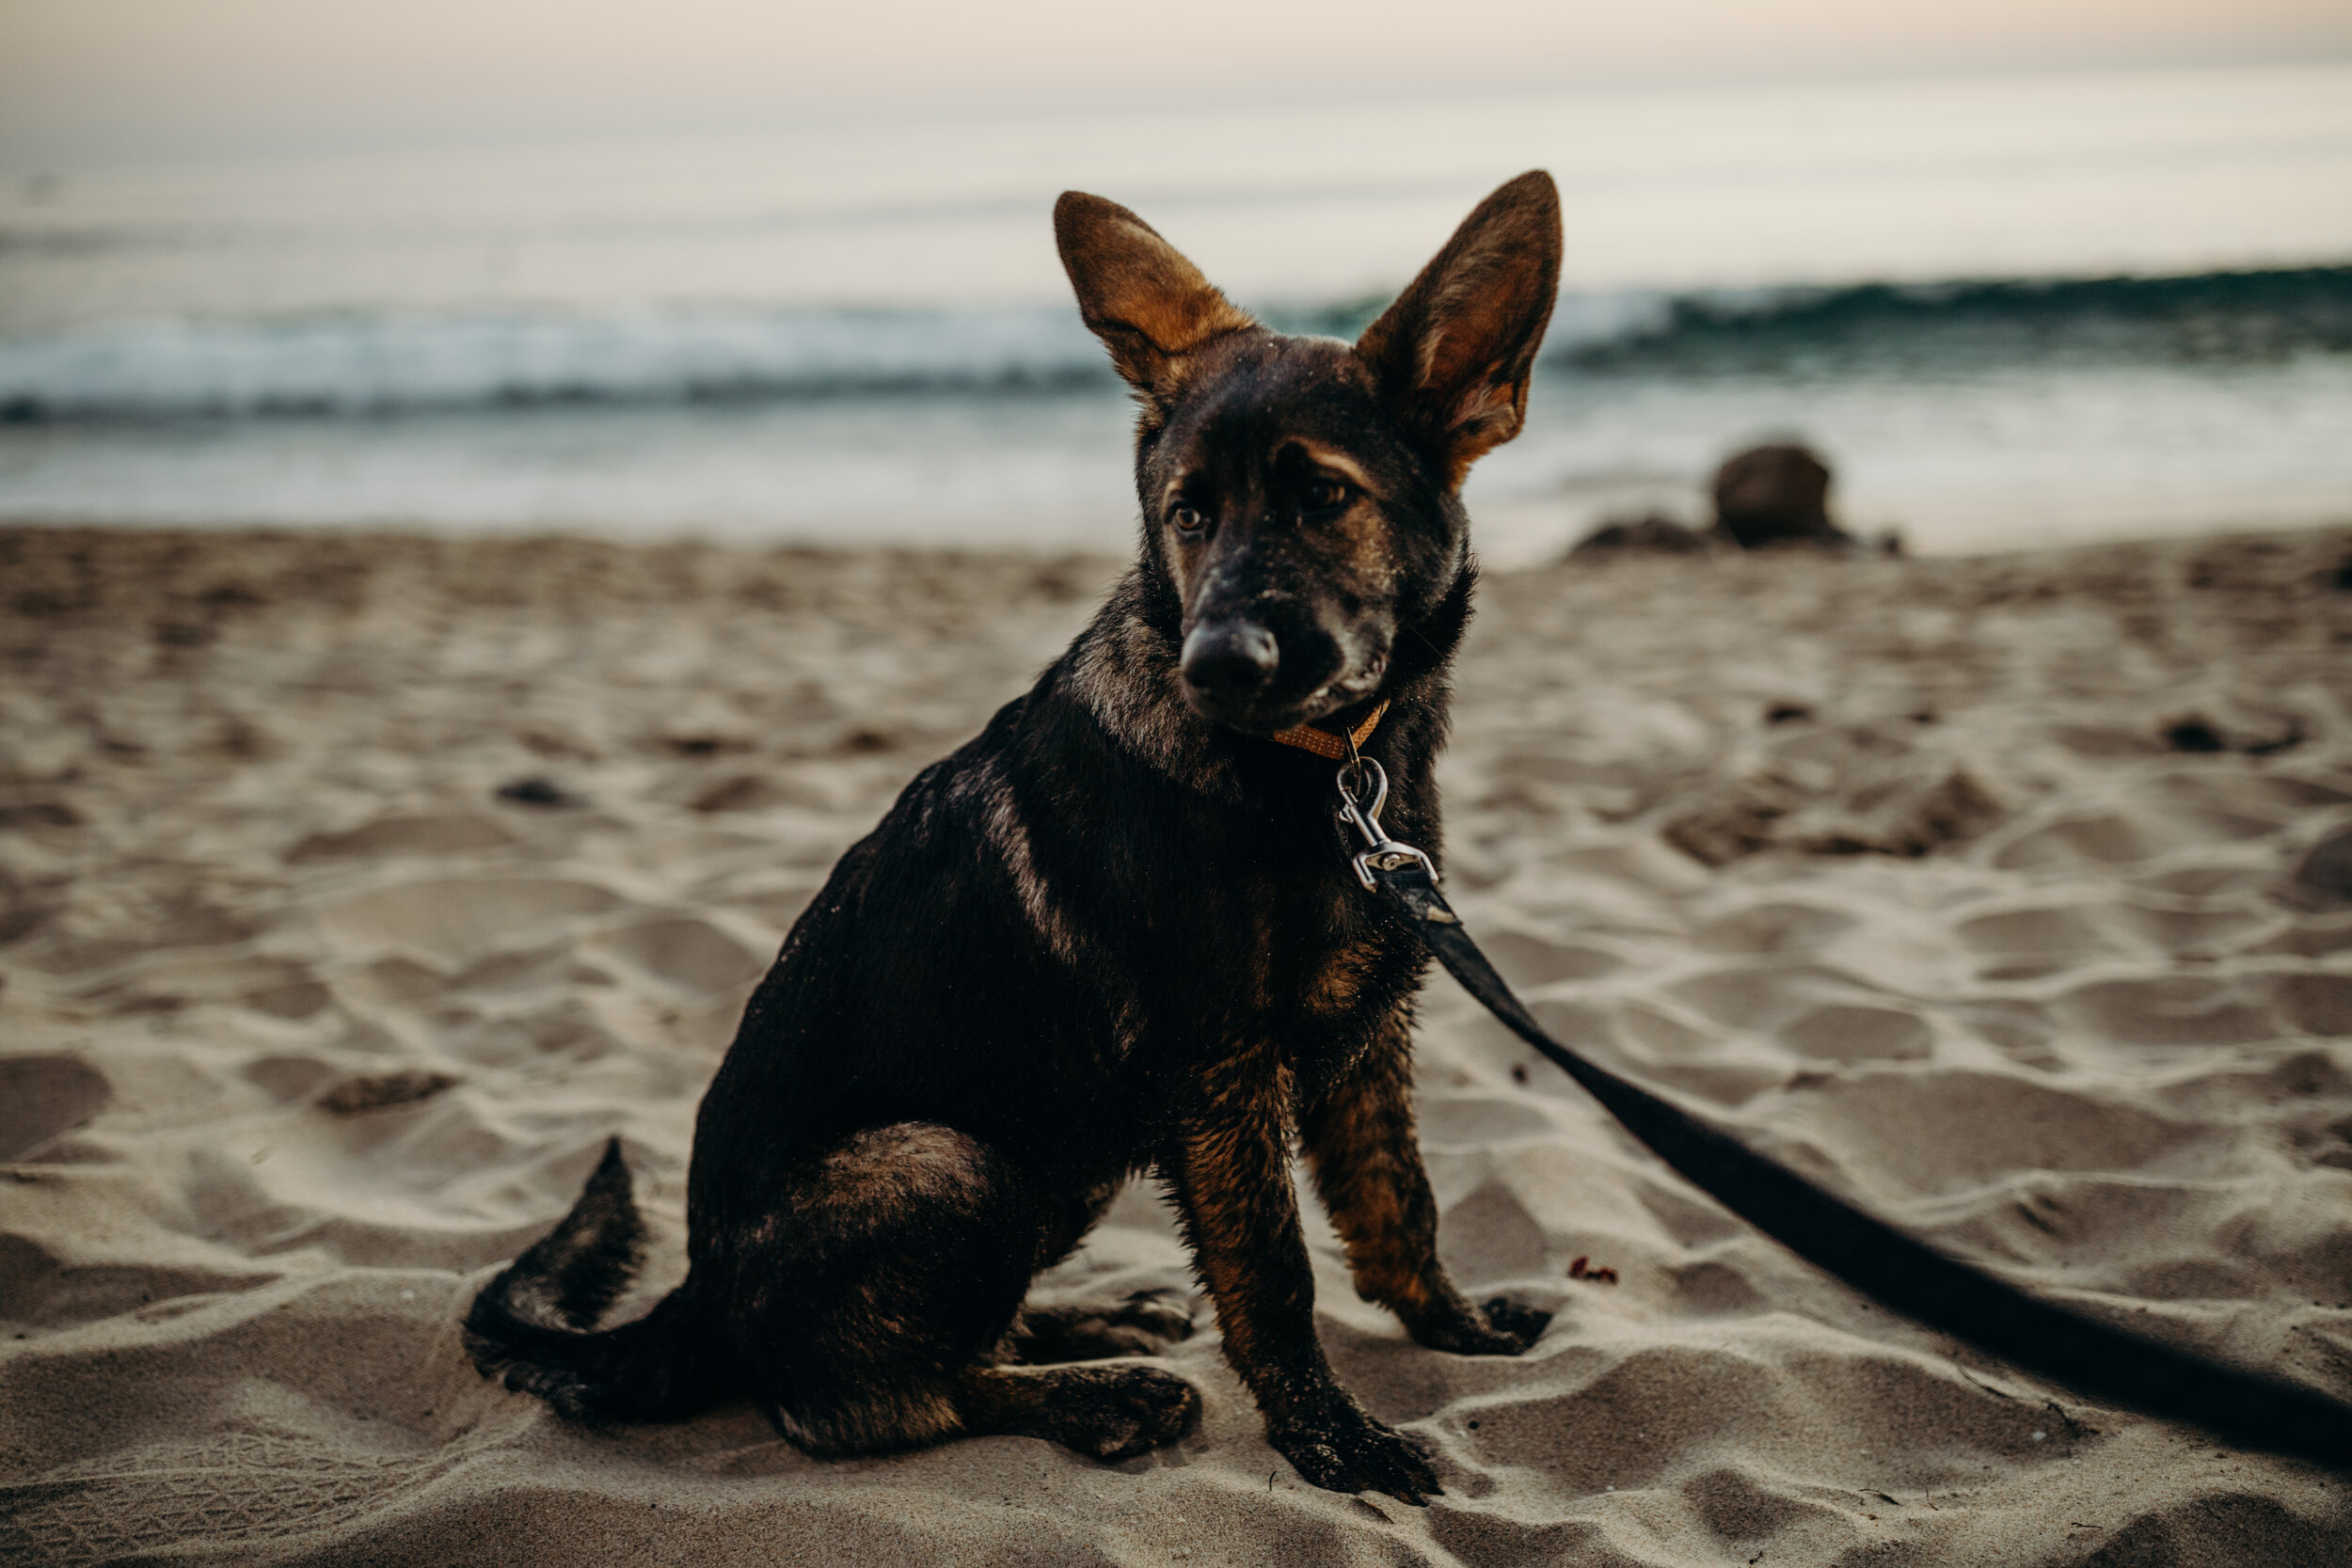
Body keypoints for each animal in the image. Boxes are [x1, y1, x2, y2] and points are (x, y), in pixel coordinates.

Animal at [463, 171, 1562, 1504]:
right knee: (864, 1397)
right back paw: (1095, 1391)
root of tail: (697, 1298)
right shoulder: (1223, 1069)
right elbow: (1275, 1276)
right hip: (951, 1159)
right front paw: (1327, 1433)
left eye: (1323, 498)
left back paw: (1085, 1327)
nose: (1215, 664)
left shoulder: (1365, 1035)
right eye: (1188, 514)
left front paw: (1451, 1325)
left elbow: (1400, 1203)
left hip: (1055, 1164)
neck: (1318, 769)